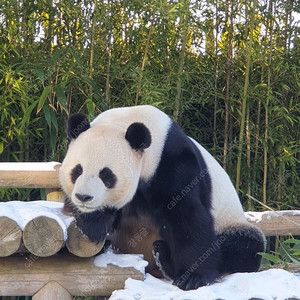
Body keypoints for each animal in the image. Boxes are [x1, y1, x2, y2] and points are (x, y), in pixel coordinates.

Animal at [58, 105, 264, 290]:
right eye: (77, 170)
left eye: (106, 175)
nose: (84, 196)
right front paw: (93, 224)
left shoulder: (175, 163)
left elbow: (188, 218)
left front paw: (193, 278)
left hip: (231, 222)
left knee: (246, 247)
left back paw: (164, 258)